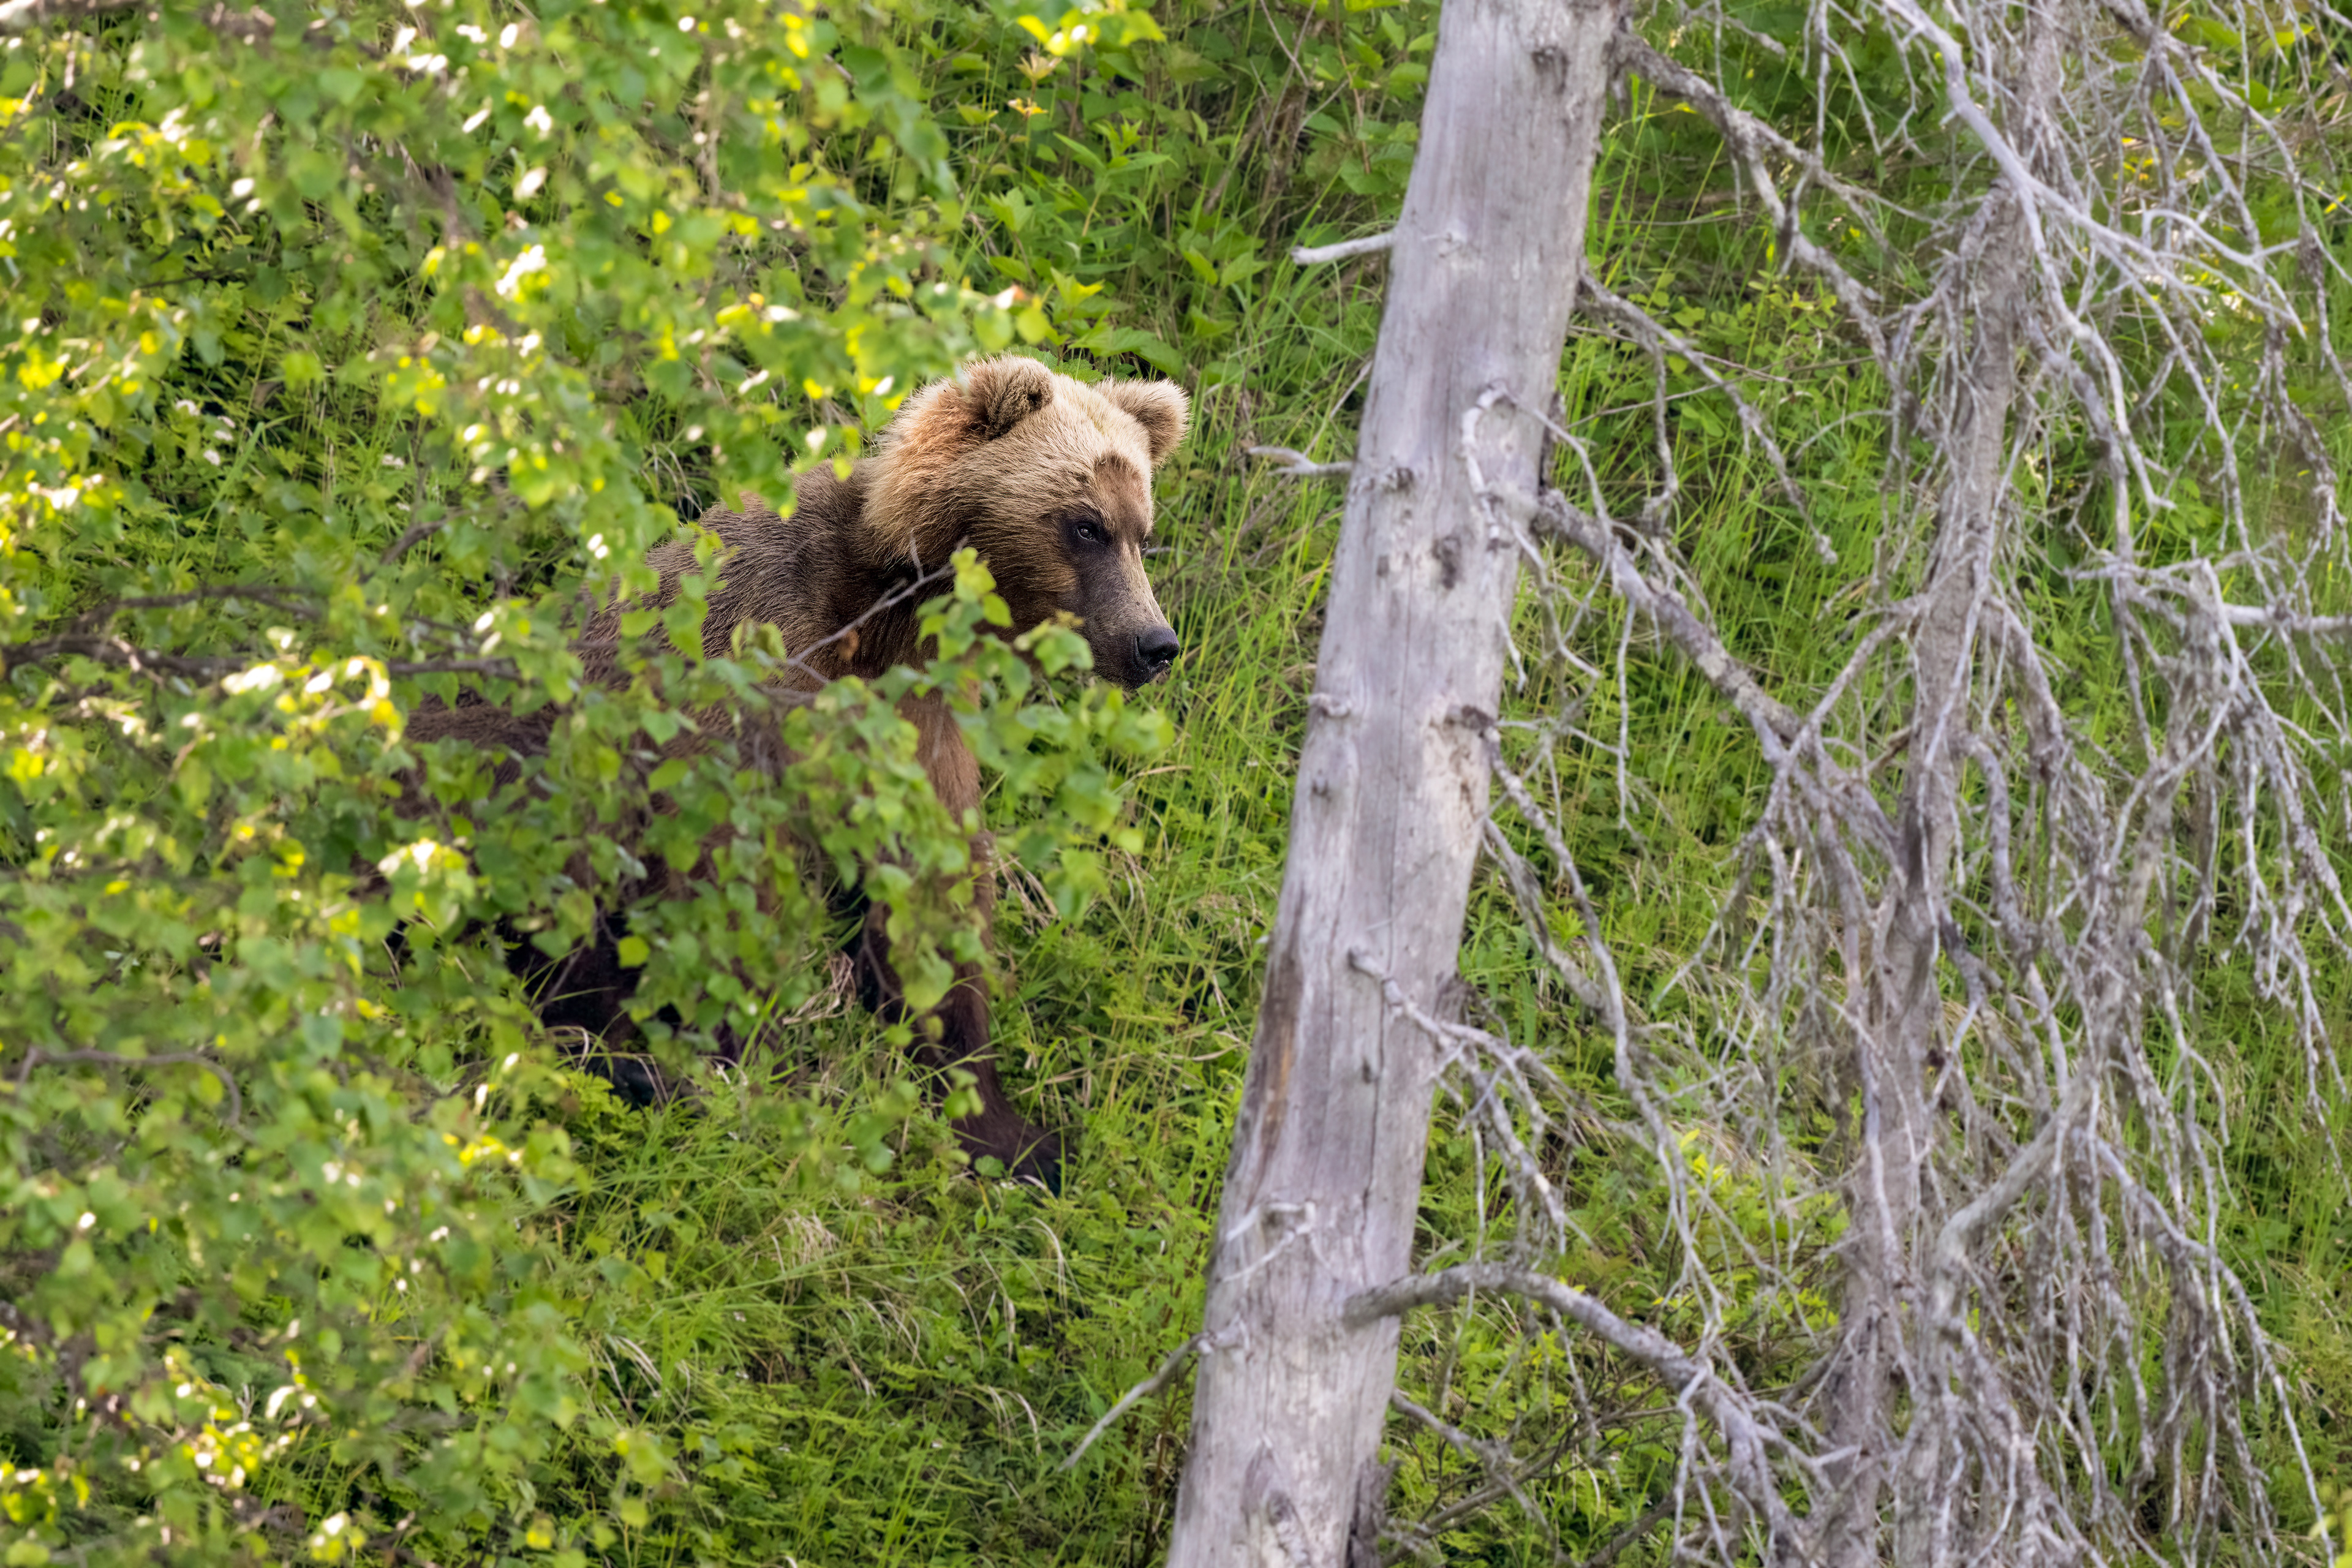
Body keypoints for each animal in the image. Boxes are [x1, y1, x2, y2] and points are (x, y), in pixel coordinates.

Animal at [407, 355, 1189, 1189]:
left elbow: (933, 889)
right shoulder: (751, 661)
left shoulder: (917, 720)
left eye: (1141, 529)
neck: (887, 611)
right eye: (1086, 524)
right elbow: (727, 882)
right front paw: (752, 1064)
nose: (1154, 643)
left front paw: (1012, 1129)